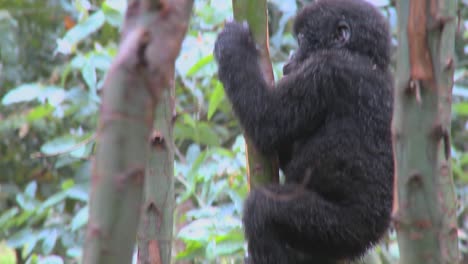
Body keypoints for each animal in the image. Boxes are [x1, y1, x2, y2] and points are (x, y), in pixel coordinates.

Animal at [214, 0, 394, 262]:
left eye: (300, 40)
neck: (364, 56)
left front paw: (232, 43)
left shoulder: (326, 70)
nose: (290, 57)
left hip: (337, 229)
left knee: (263, 208)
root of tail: (373, 236)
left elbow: (267, 121)